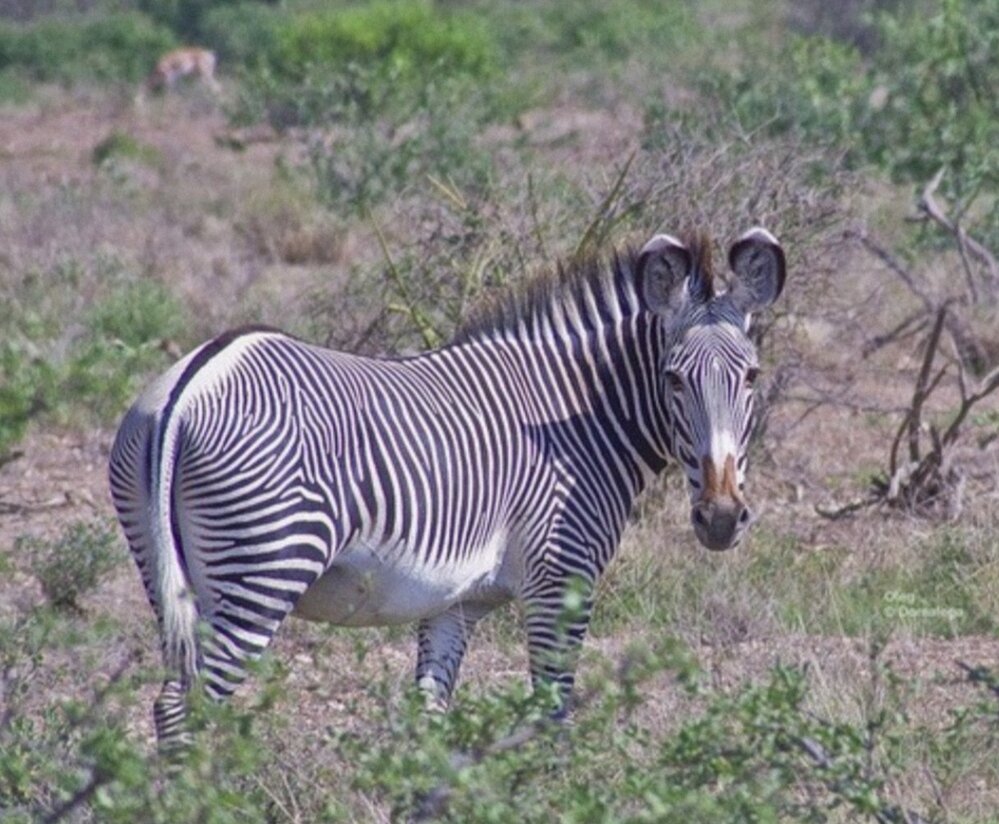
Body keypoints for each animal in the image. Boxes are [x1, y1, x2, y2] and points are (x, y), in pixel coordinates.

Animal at [109, 227, 788, 752]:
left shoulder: (454, 603)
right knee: (184, 709)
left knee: (174, 699)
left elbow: (428, 718)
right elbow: (552, 715)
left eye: (752, 376)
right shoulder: (560, 582)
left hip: (170, 576)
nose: (720, 518)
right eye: (673, 379)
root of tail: (191, 383)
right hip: (264, 570)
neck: (579, 420)